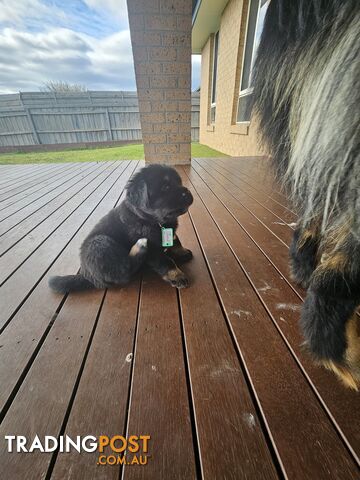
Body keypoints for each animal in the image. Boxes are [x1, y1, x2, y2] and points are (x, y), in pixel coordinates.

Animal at [48, 164, 194, 292]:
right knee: (123, 273)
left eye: (179, 182)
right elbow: (166, 262)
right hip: (100, 243)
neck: (153, 220)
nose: (187, 191)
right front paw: (177, 276)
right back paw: (139, 247)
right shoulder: (153, 250)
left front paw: (182, 252)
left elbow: (176, 240)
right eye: (165, 187)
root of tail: (88, 276)